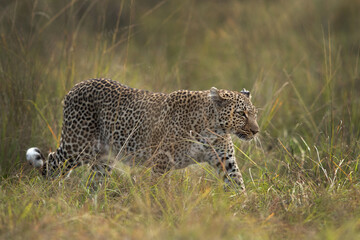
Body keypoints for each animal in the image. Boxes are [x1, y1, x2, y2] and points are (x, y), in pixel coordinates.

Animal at [27, 78, 258, 190]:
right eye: (241, 114)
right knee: (51, 161)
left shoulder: (225, 160)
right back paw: (48, 195)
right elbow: (157, 188)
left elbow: (237, 183)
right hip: (77, 147)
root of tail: (75, 87)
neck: (213, 129)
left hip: (104, 157)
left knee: (94, 181)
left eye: (254, 114)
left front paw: (243, 211)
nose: (256, 131)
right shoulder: (162, 160)